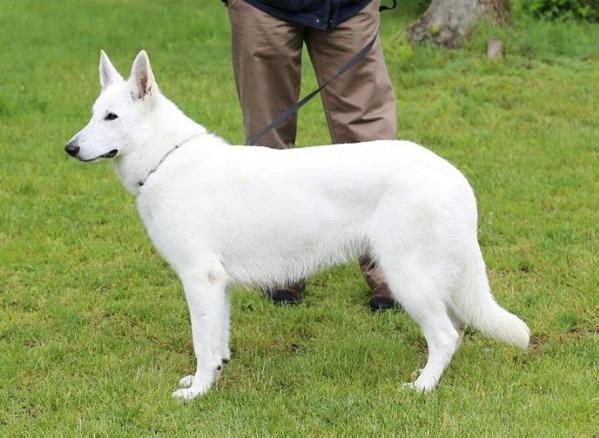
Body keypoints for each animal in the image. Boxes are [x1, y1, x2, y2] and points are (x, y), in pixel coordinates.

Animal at [65, 51, 532, 400]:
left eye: (111, 117)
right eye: (93, 115)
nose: (69, 148)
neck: (167, 158)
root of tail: (454, 175)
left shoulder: (200, 279)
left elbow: (201, 343)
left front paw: (198, 391)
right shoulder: (217, 287)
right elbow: (217, 342)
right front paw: (213, 375)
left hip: (406, 278)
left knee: (446, 336)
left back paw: (422, 388)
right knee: (456, 329)